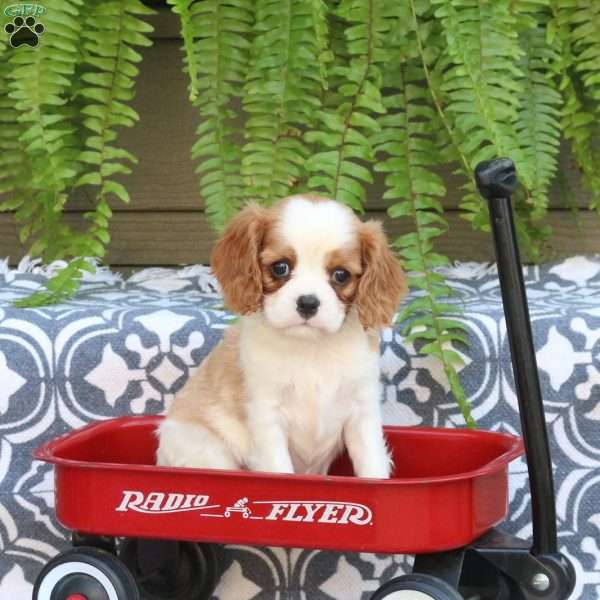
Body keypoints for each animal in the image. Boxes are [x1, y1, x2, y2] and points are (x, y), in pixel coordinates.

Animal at [157, 197, 406, 478]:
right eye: (280, 268)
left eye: (340, 275)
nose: (308, 303)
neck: (311, 347)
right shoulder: (267, 415)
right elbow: (278, 469)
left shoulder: (362, 412)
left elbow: (372, 463)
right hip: (207, 452)